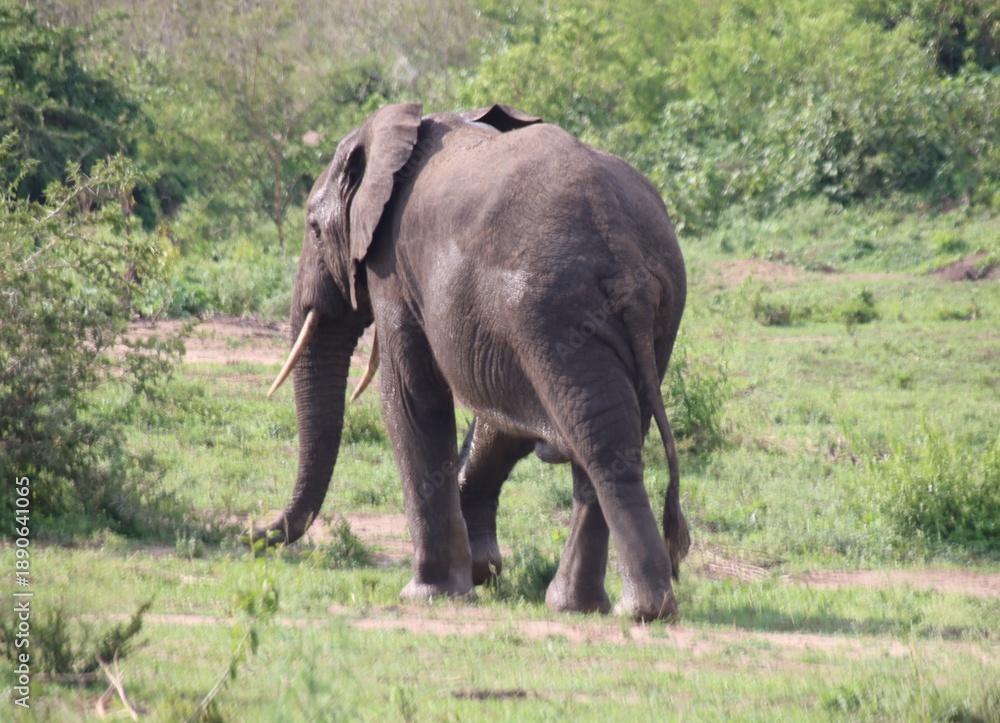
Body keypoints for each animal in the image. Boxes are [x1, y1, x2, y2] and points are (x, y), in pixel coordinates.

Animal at [250, 102, 689, 621]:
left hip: (554, 311)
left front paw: (431, 593)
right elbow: (498, 421)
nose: (252, 531)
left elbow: (412, 398)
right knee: (612, 435)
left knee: (599, 443)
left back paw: (639, 611)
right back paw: (581, 606)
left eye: (314, 231)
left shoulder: (393, 268)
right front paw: (480, 571)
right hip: (647, 314)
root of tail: (625, 251)